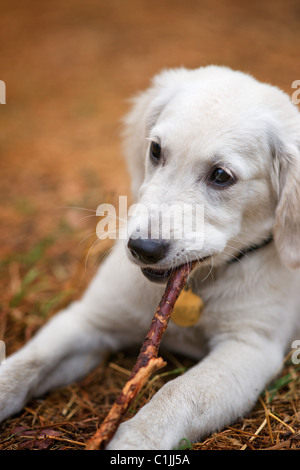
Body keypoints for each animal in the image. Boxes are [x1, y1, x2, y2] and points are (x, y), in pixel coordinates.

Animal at [0, 64, 300, 450]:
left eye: (221, 175)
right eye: (156, 150)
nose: (143, 249)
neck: (197, 282)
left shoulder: (249, 348)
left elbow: (181, 393)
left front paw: (136, 440)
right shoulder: (91, 319)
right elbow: (27, 363)